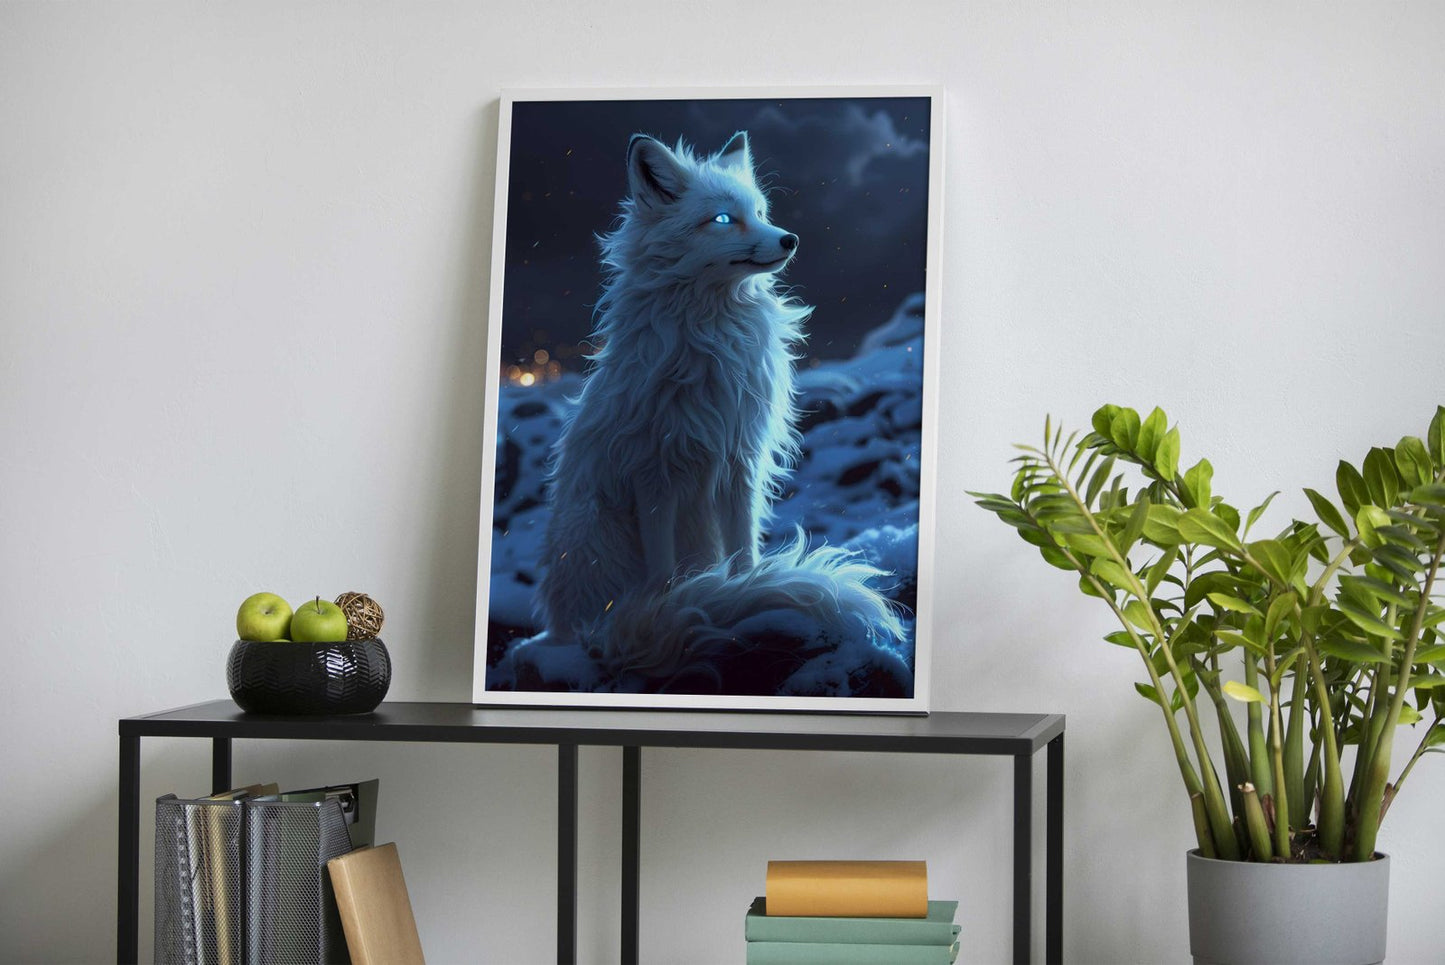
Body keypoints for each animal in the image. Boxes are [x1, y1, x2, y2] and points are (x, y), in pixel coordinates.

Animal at [533, 130, 905, 686]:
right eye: (725, 219)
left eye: (761, 211)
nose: (790, 239)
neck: (712, 335)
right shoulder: (653, 473)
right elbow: (664, 578)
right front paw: (675, 611)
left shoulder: (739, 463)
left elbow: (744, 554)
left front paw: (743, 592)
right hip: (594, 533)